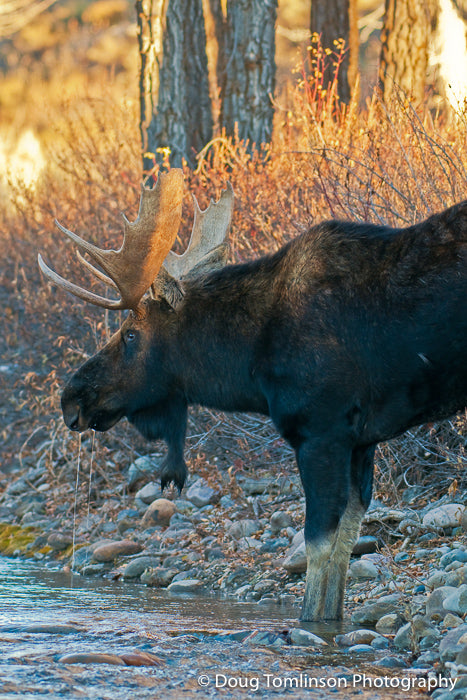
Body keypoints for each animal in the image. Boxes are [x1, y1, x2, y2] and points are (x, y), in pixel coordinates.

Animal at [38, 168, 467, 622]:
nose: (71, 399)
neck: (249, 367)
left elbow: (318, 546)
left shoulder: (321, 432)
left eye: (131, 334)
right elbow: (346, 546)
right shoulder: (362, 442)